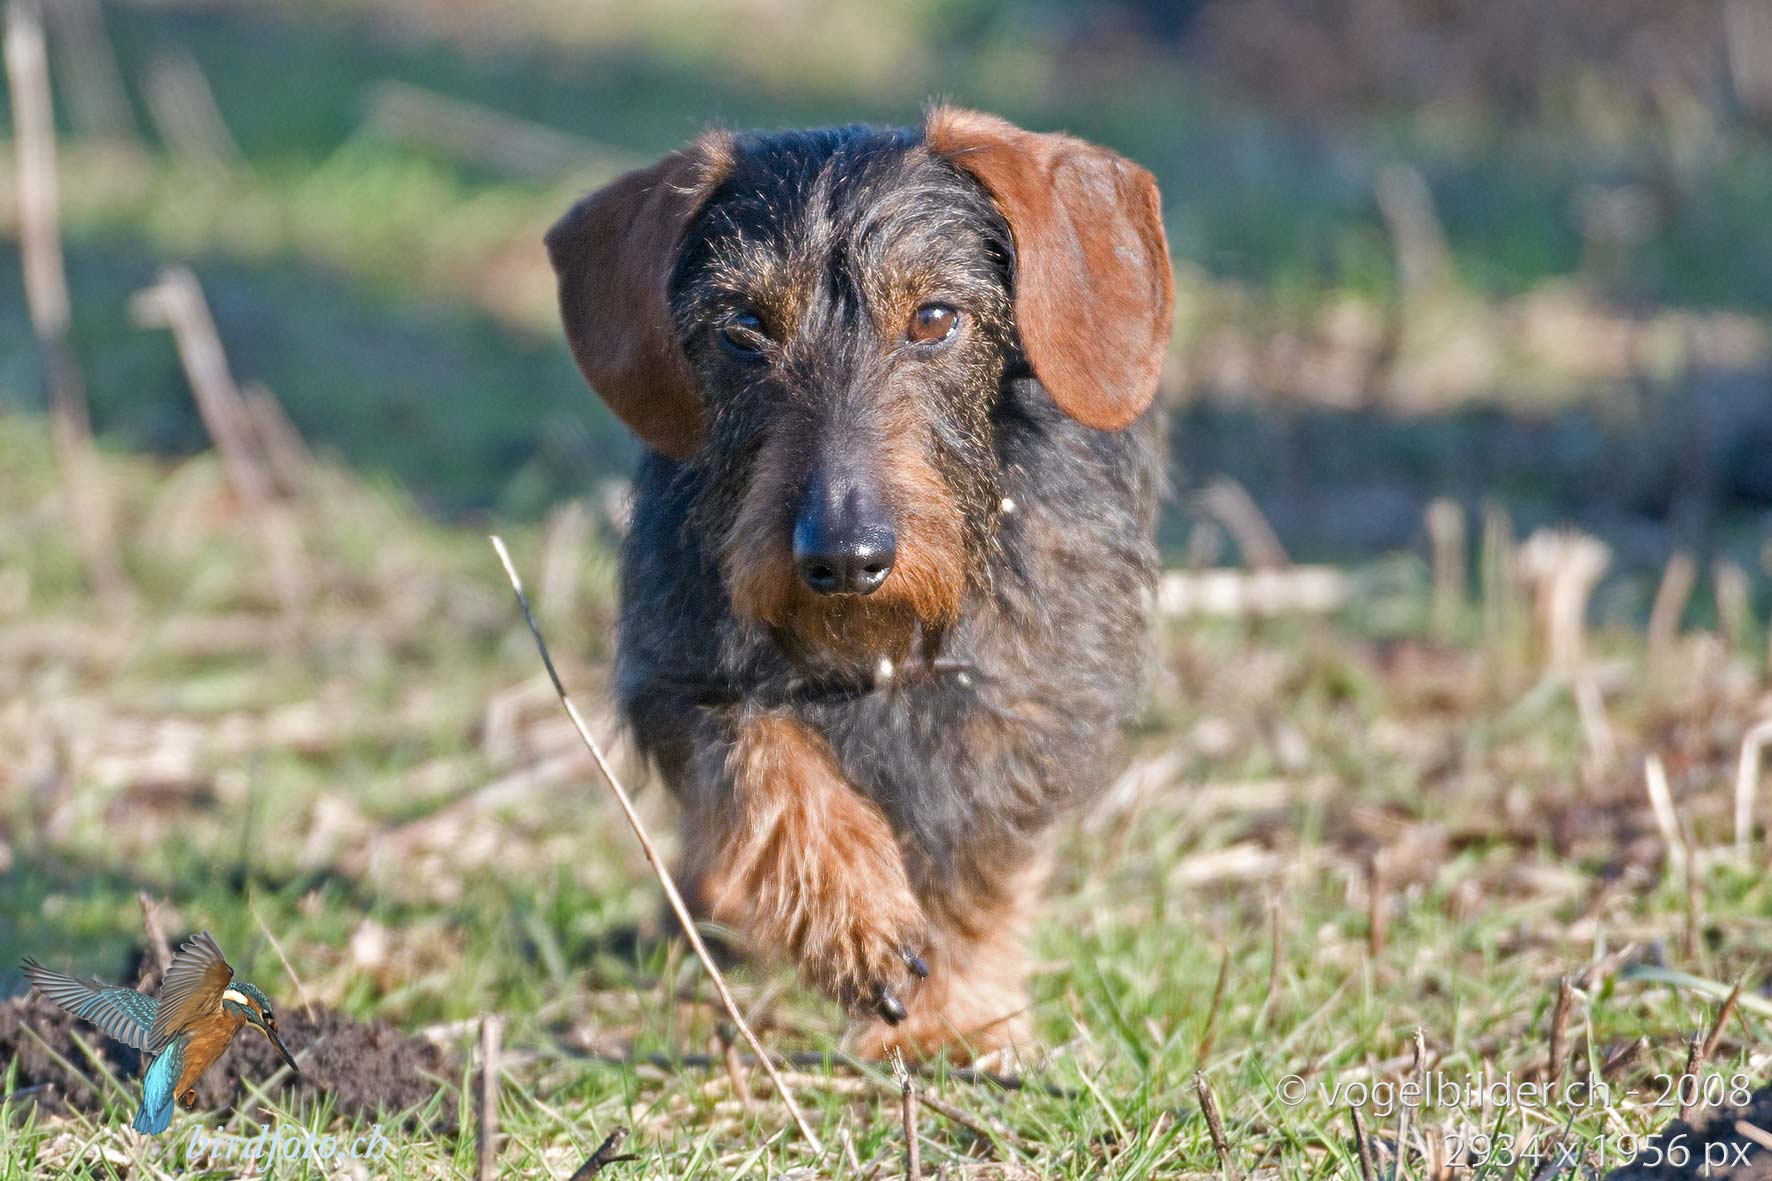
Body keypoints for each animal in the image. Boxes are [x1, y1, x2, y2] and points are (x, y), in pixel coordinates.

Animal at [545, 108, 1172, 1061]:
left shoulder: (1019, 706)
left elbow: (972, 861)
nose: (845, 557)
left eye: (936, 317)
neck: (875, 644)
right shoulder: (682, 677)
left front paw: (953, 1019)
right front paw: (857, 922)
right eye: (744, 326)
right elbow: (764, 766)